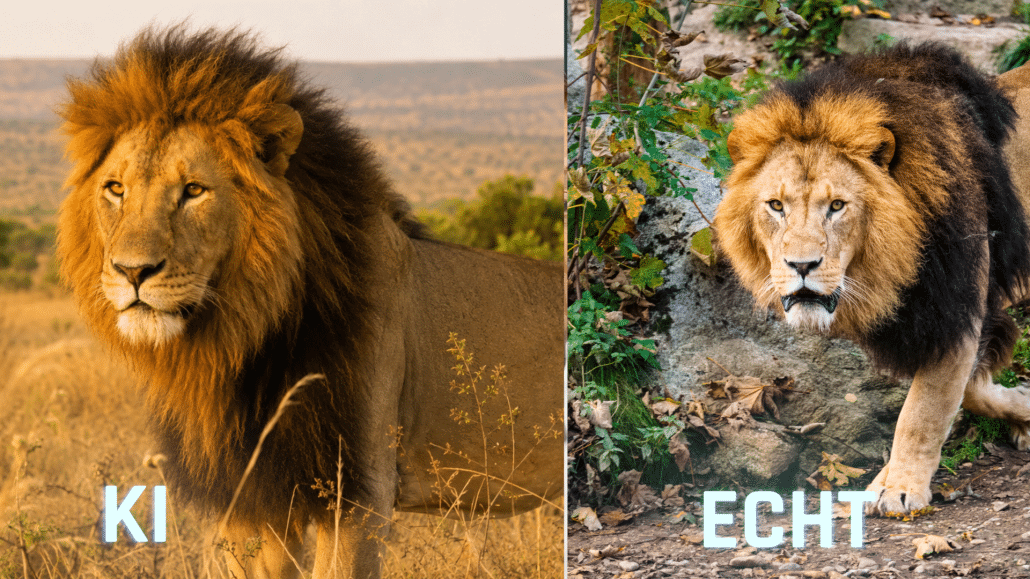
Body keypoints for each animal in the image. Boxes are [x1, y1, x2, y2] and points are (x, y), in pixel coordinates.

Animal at [57, 26, 563, 579]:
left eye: (193, 190)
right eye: (115, 189)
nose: (132, 271)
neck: (238, 344)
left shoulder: (358, 492)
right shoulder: (253, 499)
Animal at [714, 43, 1030, 516]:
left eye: (837, 206)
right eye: (776, 205)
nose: (802, 266)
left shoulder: (958, 306)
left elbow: (924, 408)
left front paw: (897, 486)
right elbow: (972, 389)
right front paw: (1023, 407)